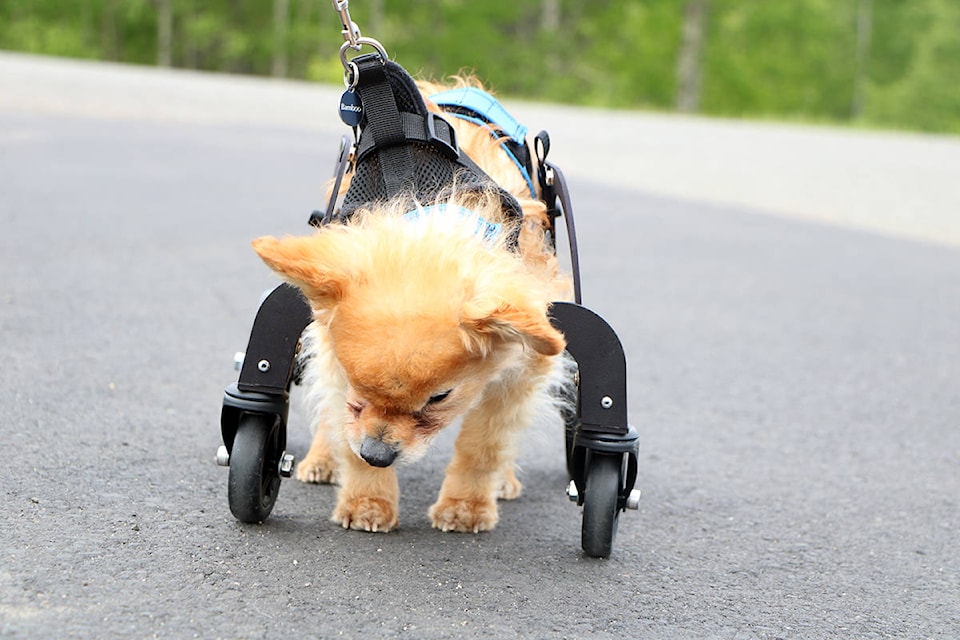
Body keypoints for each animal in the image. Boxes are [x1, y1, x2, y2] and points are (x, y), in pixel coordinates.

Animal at [251, 77, 572, 532]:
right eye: (357, 386)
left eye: (439, 398)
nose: (378, 454)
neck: (436, 211)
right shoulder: (335, 365)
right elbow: (345, 426)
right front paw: (367, 501)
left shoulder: (521, 369)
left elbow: (485, 444)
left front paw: (466, 506)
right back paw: (322, 461)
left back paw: (504, 483)